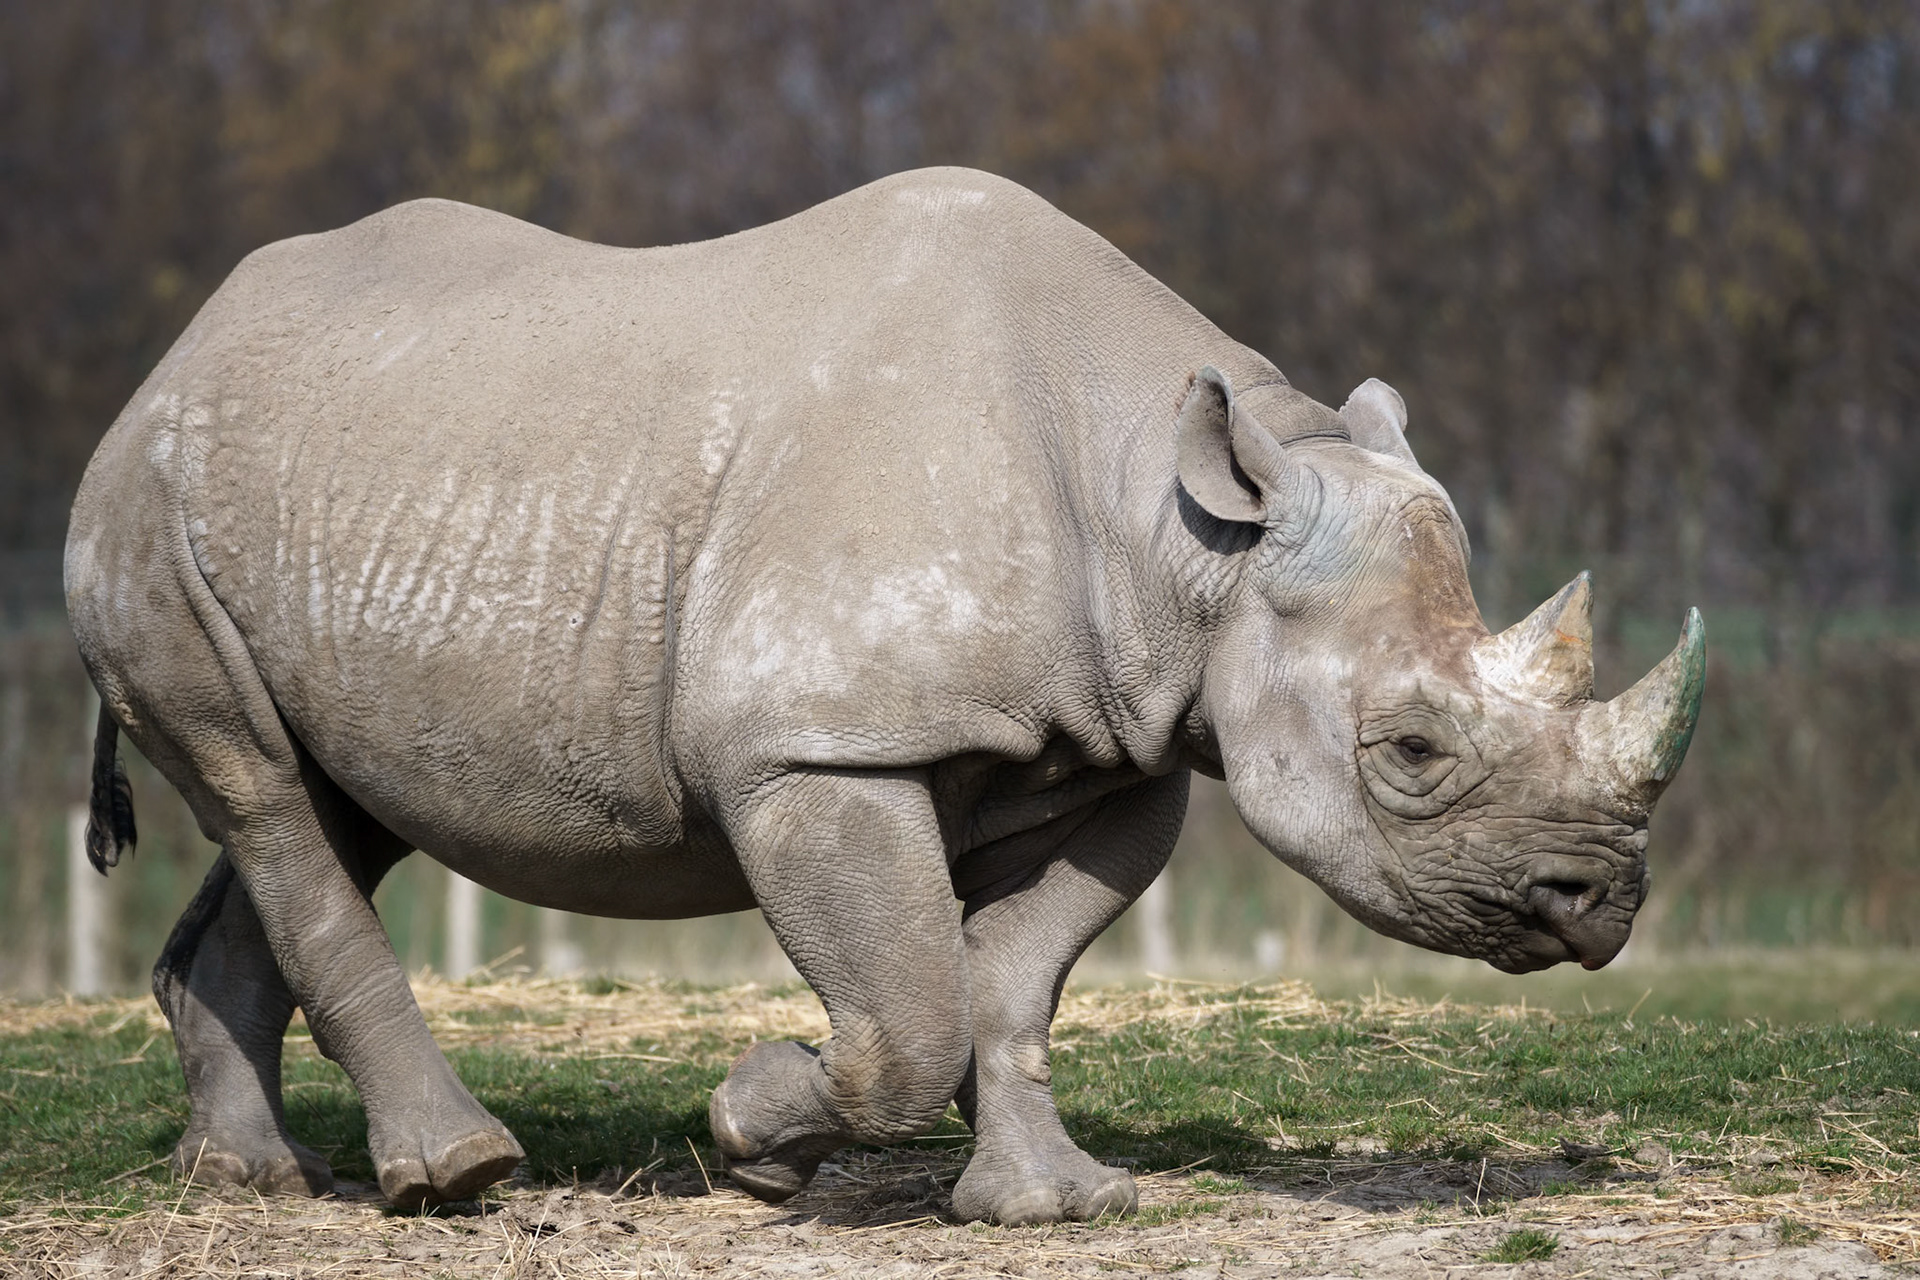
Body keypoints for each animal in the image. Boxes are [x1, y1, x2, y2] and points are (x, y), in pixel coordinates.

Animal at [65, 167, 1703, 1224]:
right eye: (1411, 750)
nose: (1601, 907)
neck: (1186, 538)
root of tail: (172, 356)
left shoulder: (1124, 742)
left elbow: (1009, 980)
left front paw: (1058, 1206)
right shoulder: (813, 748)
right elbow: (914, 1008)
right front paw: (754, 1134)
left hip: (340, 485)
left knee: (331, 800)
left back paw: (258, 1182)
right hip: (148, 511)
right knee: (266, 788)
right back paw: (459, 1180)